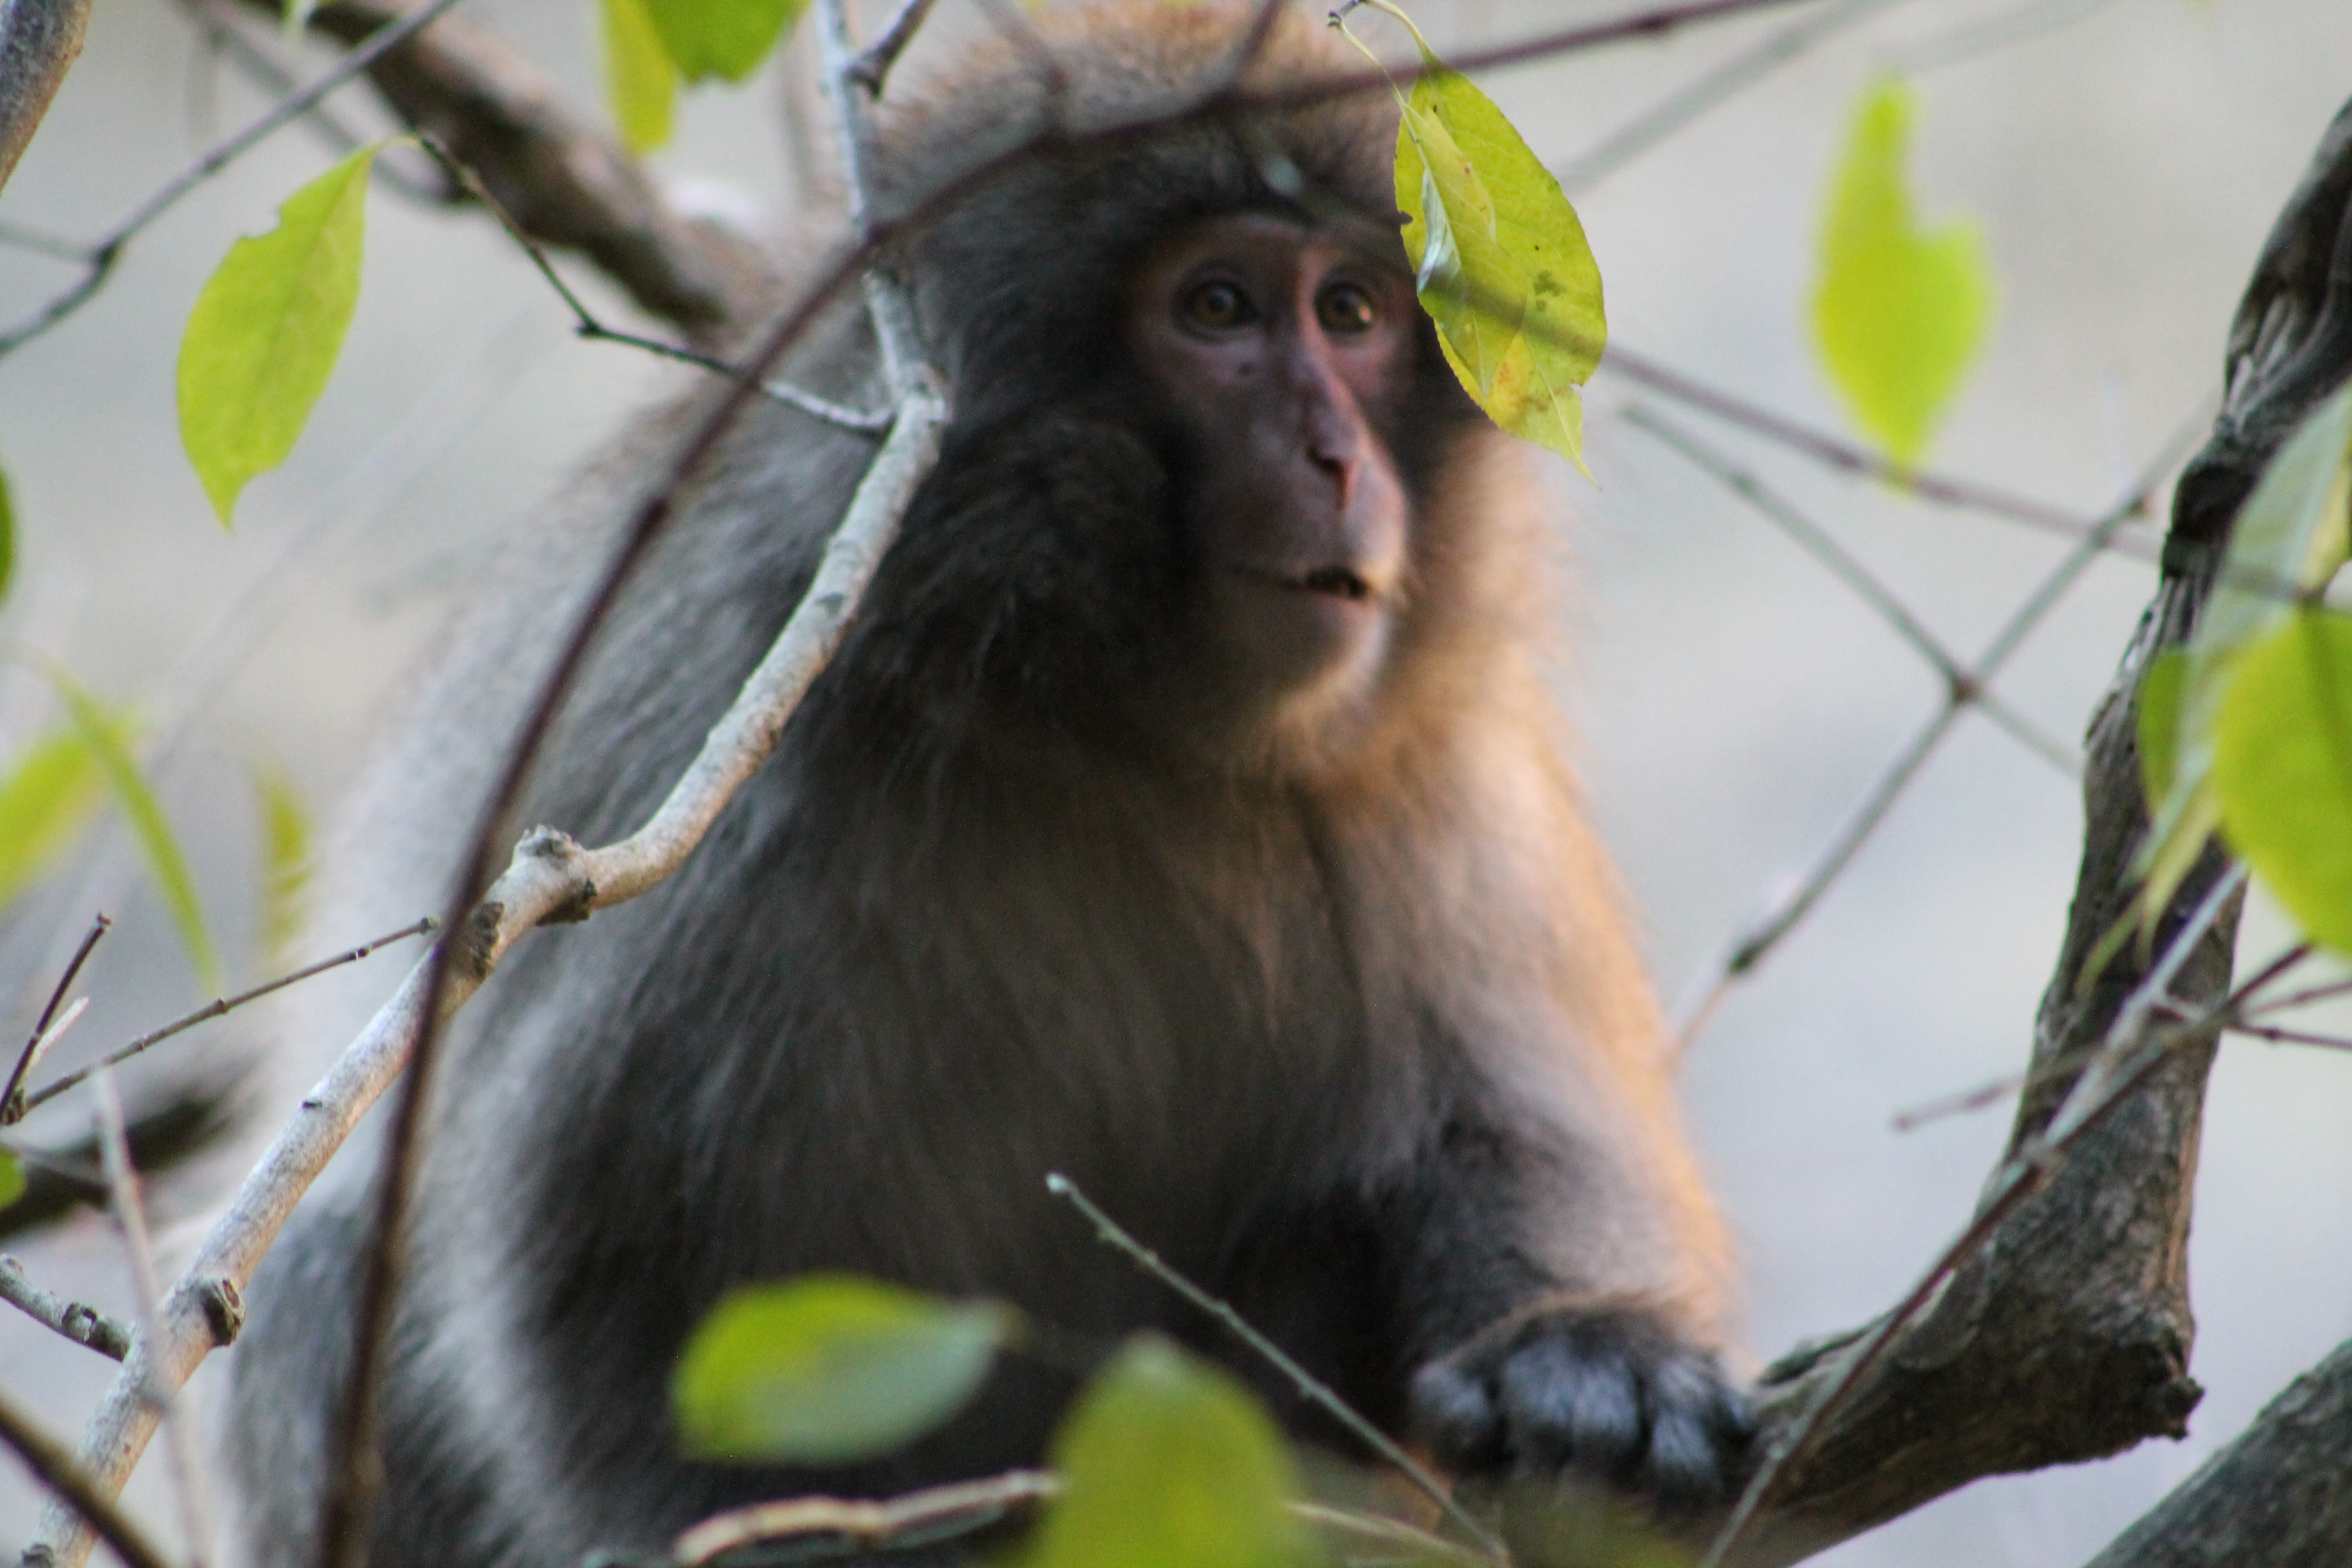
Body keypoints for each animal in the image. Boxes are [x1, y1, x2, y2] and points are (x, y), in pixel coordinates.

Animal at [223, 5, 1749, 1565]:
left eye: (1353, 314)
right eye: (1218, 308)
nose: (1336, 458)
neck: (1103, 721)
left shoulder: (1419, 777)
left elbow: (1495, 1115)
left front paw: (1582, 1353)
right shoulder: (737, 762)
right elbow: (594, 1255)